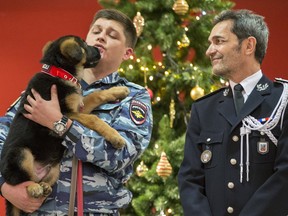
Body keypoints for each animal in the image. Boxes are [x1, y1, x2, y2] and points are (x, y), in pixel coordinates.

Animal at [0, 35, 128, 216]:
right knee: (18, 181)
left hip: (55, 168)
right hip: (21, 154)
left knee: (40, 180)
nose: (98, 49)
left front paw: (118, 91)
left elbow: (96, 95)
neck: (60, 72)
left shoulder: (77, 106)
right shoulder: (66, 114)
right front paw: (115, 137)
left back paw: (44, 186)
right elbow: (93, 119)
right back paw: (32, 188)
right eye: (85, 45)